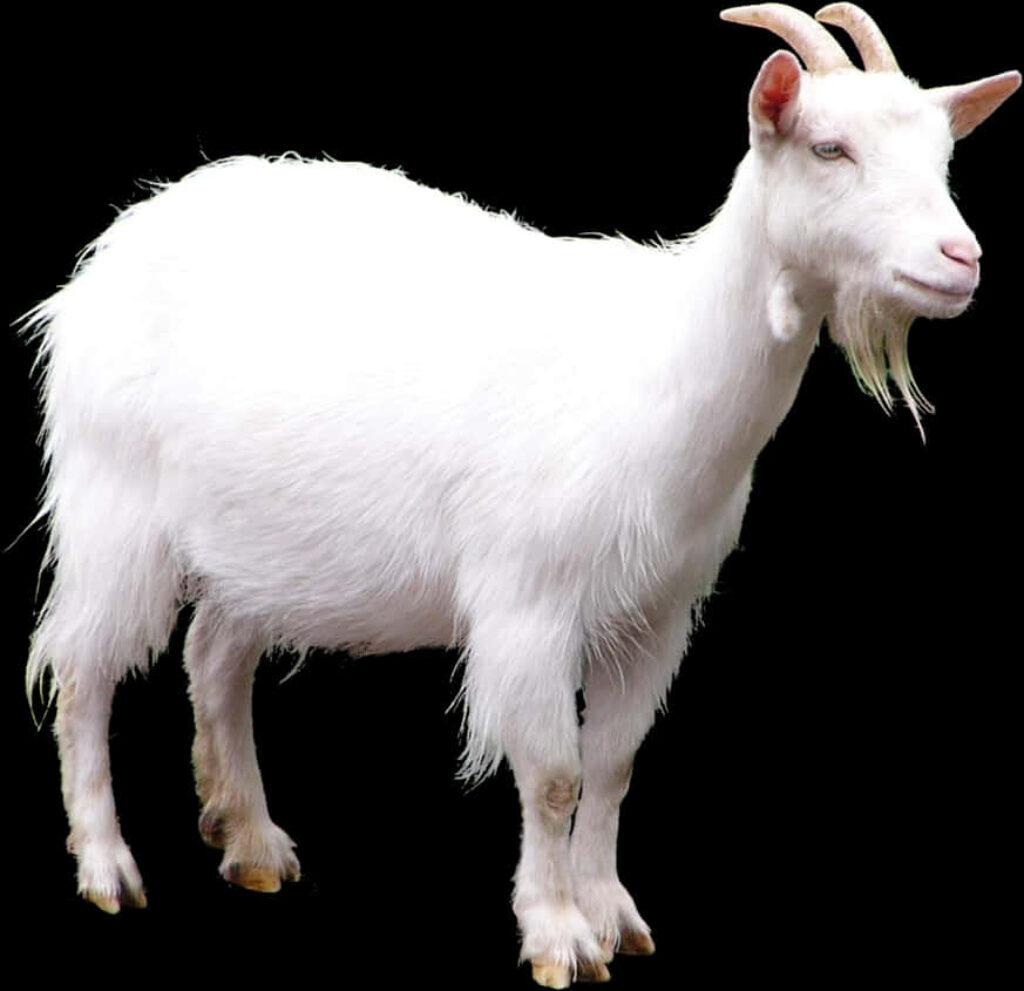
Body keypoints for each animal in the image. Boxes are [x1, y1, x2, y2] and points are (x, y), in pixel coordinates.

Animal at [20, 4, 1017, 987]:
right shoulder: (530, 602)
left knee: (216, 658)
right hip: (113, 503)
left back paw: (254, 841)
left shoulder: (656, 613)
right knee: (82, 670)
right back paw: (108, 866)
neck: (660, 363)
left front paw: (613, 914)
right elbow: (553, 774)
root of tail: (115, 248)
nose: (959, 259)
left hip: (253, 542)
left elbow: (612, 765)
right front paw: (556, 934)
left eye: (943, 156)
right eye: (828, 148)